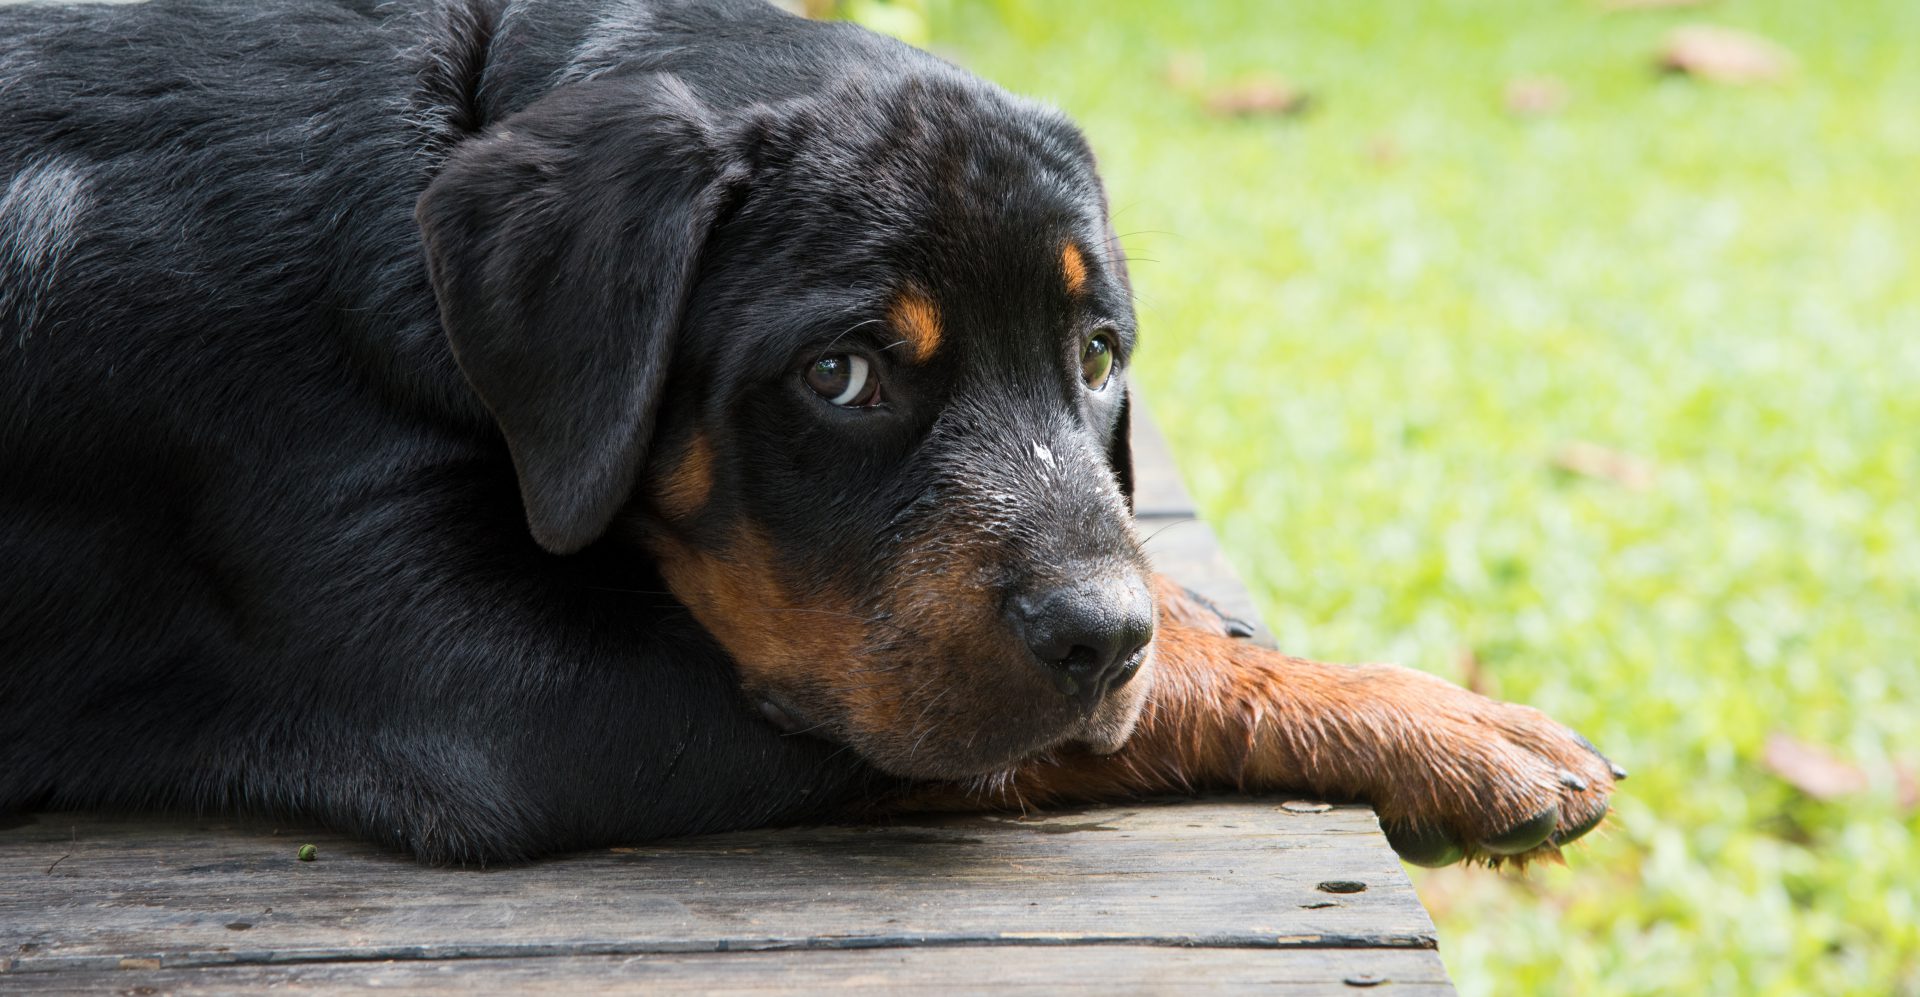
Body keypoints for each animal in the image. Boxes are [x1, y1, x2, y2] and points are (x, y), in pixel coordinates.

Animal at [0, 0, 1620, 864]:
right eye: (842, 376)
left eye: (1099, 355)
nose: (1096, 635)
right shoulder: (517, 698)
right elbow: (1139, 704)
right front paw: (1454, 729)